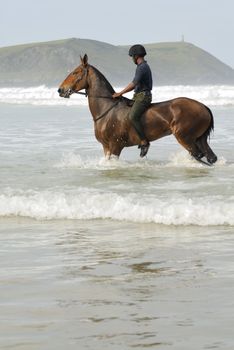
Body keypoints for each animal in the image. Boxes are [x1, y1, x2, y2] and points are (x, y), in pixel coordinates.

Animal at [58, 54, 218, 165]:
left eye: (76, 72)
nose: (60, 90)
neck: (107, 110)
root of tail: (203, 106)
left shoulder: (115, 146)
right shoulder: (106, 147)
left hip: (185, 138)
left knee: (198, 156)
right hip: (199, 139)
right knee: (210, 157)